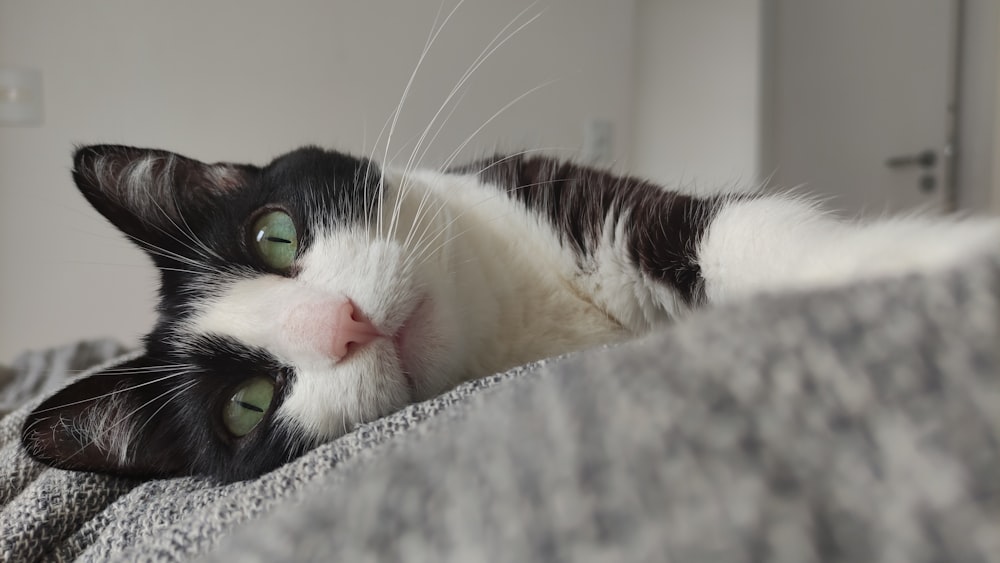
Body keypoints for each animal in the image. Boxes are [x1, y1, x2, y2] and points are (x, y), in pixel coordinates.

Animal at [17, 144, 1000, 480]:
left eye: (276, 235)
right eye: (246, 407)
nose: (344, 322)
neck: (520, 325)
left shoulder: (565, 195)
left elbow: (739, 234)